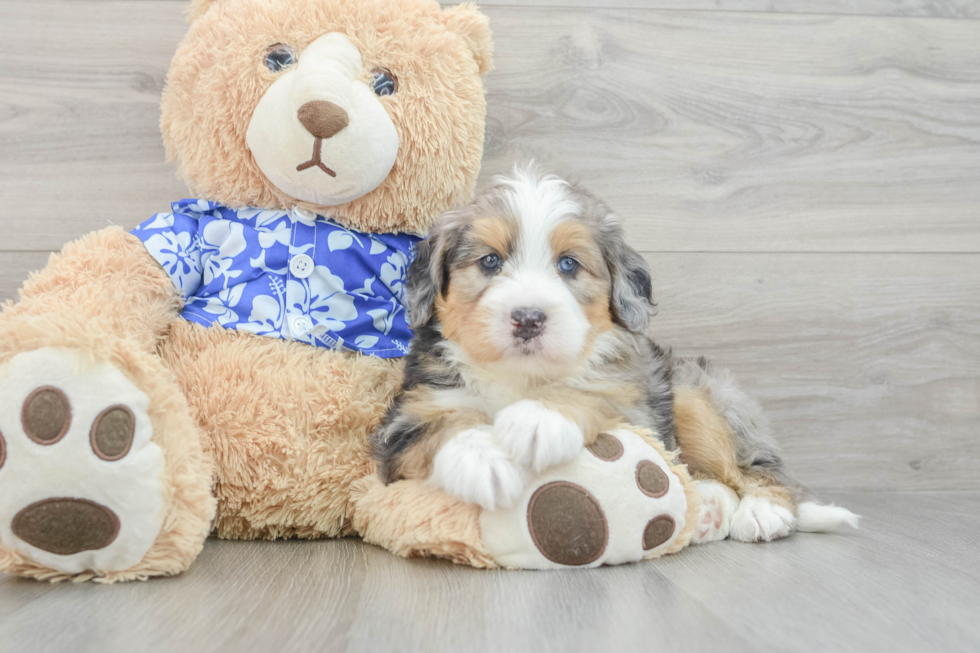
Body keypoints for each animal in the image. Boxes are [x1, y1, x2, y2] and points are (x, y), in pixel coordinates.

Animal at [374, 166, 856, 544]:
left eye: (568, 264)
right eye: (490, 262)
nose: (528, 318)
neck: (523, 378)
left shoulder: (636, 407)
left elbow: (592, 394)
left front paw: (538, 419)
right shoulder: (406, 418)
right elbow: (442, 427)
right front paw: (483, 462)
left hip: (694, 395)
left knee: (756, 467)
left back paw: (763, 510)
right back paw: (709, 510)